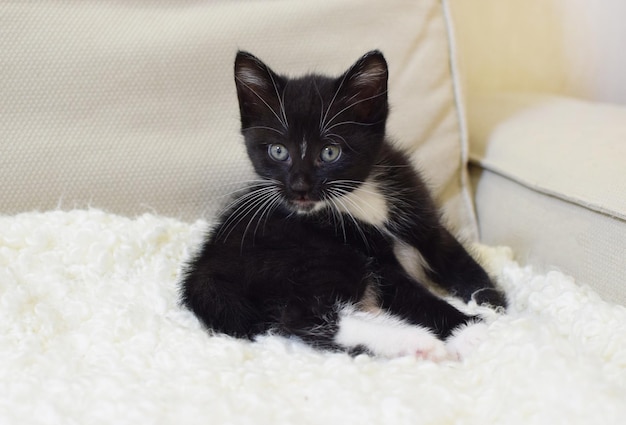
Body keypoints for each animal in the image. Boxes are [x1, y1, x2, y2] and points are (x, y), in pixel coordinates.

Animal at [179, 50, 502, 362]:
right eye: (278, 151)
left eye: (330, 152)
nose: (299, 188)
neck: (358, 195)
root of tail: (203, 269)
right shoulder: (370, 255)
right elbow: (411, 295)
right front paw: (472, 330)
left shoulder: (417, 207)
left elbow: (451, 253)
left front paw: (492, 302)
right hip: (309, 253)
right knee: (303, 316)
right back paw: (414, 342)